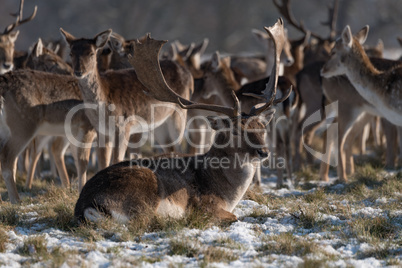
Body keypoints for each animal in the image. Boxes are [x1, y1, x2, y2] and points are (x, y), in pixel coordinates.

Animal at [74, 18, 290, 223]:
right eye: (236, 131)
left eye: (262, 128)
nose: (263, 152)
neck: (227, 193)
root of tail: (87, 205)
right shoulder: (205, 206)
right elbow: (233, 216)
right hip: (144, 192)